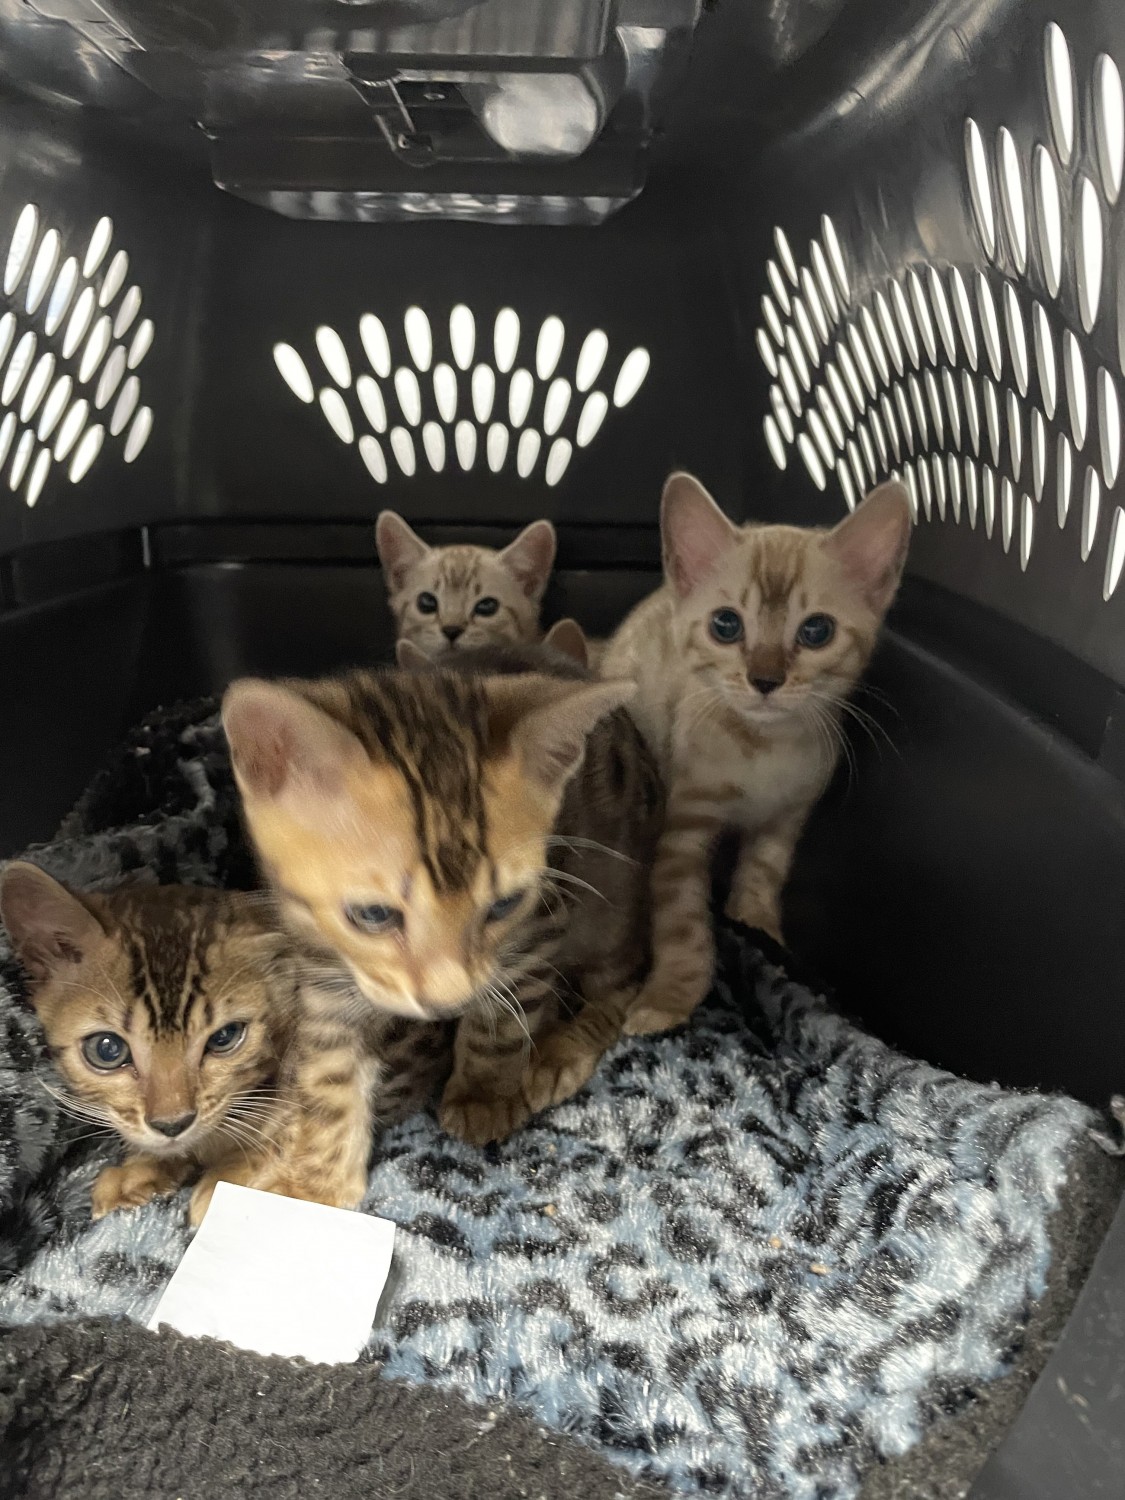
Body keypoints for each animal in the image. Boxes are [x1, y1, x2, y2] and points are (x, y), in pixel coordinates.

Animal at [219, 651, 660, 1212]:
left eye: (504, 904)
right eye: (373, 915)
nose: (448, 1003)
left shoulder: (538, 926)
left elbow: (503, 1015)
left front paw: (483, 1093)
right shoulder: (319, 971)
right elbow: (329, 1075)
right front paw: (317, 1181)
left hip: (612, 905)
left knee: (625, 981)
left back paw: (560, 1050)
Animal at [603, 474, 912, 1038]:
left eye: (816, 630)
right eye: (726, 625)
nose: (765, 679)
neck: (765, 750)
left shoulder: (787, 816)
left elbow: (762, 878)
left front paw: (760, 932)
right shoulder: (681, 830)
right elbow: (683, 922)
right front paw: (669, 996)